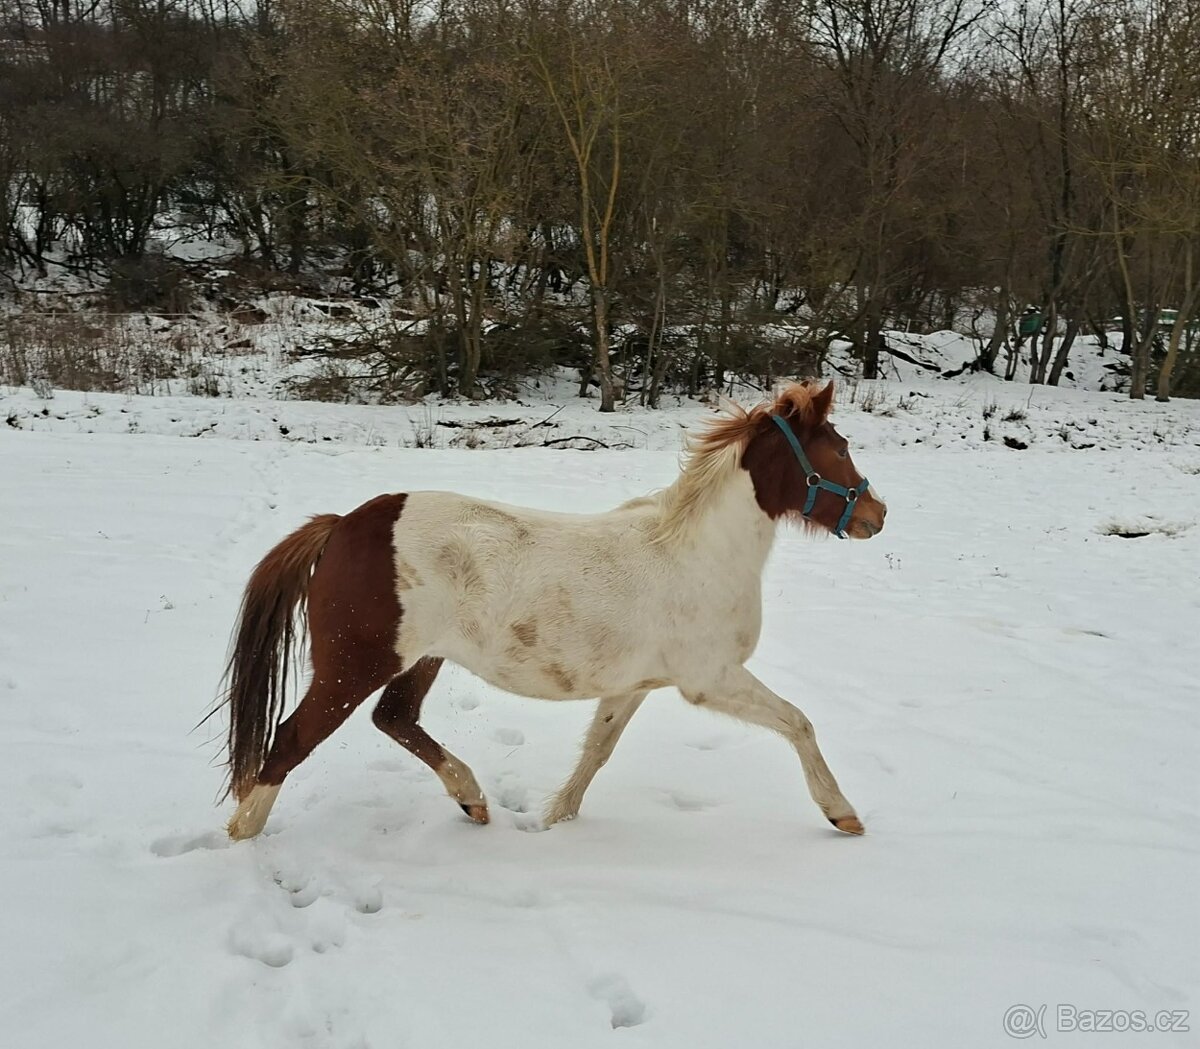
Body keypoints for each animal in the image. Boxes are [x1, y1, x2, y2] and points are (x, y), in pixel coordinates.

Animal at [218, 380, 887, 842]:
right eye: (838, 449)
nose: (877, 515)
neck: (699, 553)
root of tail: (341, 526)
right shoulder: (711, 679)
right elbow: (799, 723)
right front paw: (843, 815)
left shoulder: (633, 685)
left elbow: (597, 751)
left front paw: (556, 821)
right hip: (354, 664)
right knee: (291, 740)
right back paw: (243, 835)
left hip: (421, 659)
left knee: (396, 718)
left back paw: (472, 799)